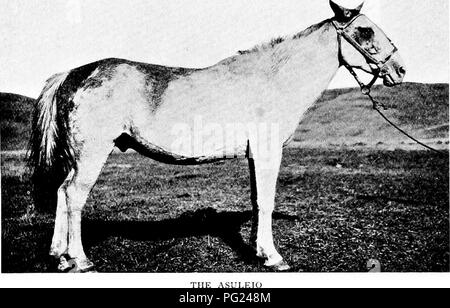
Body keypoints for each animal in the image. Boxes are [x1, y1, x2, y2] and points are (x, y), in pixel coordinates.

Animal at [29, 1, 406, 272]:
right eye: (364, 30)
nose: (400, 70)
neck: (272, 80)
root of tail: (73, 74)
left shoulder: (255, 155)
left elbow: (256, 200)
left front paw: (259, 251)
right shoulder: (268, 152)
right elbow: (265, 202)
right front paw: (274, 258)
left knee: (61, 192)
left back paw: (59, 257)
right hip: (91, 154)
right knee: (74, 195)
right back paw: (80, 260)